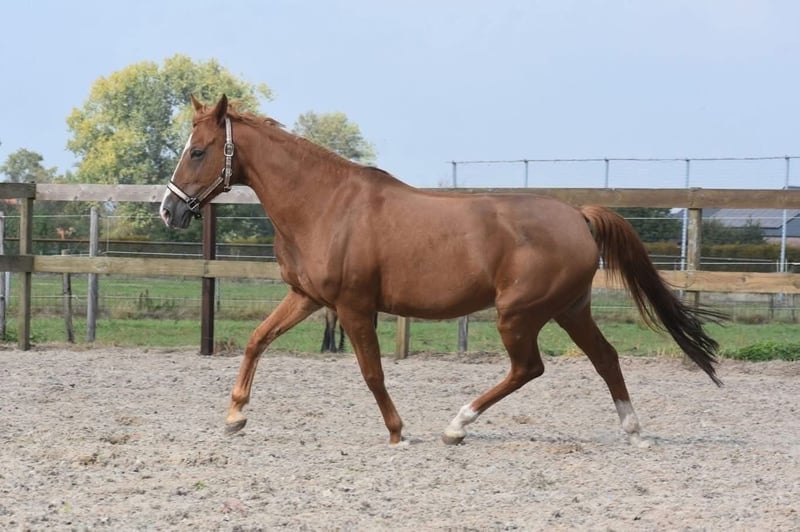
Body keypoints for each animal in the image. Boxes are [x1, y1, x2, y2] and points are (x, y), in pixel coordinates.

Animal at [160, 95, 724, 447]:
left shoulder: (354, 307)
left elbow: (372, 371)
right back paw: (634, 432)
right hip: (569, 308)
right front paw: (235, 417)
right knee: (604, 358)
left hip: (518, 314)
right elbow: (257, 339)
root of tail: (578, 216)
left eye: (198, 151)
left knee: (529, 368)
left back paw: (457, 426)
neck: (326, 205)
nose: (169, 210)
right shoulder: (308, 298)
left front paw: (397, 431)